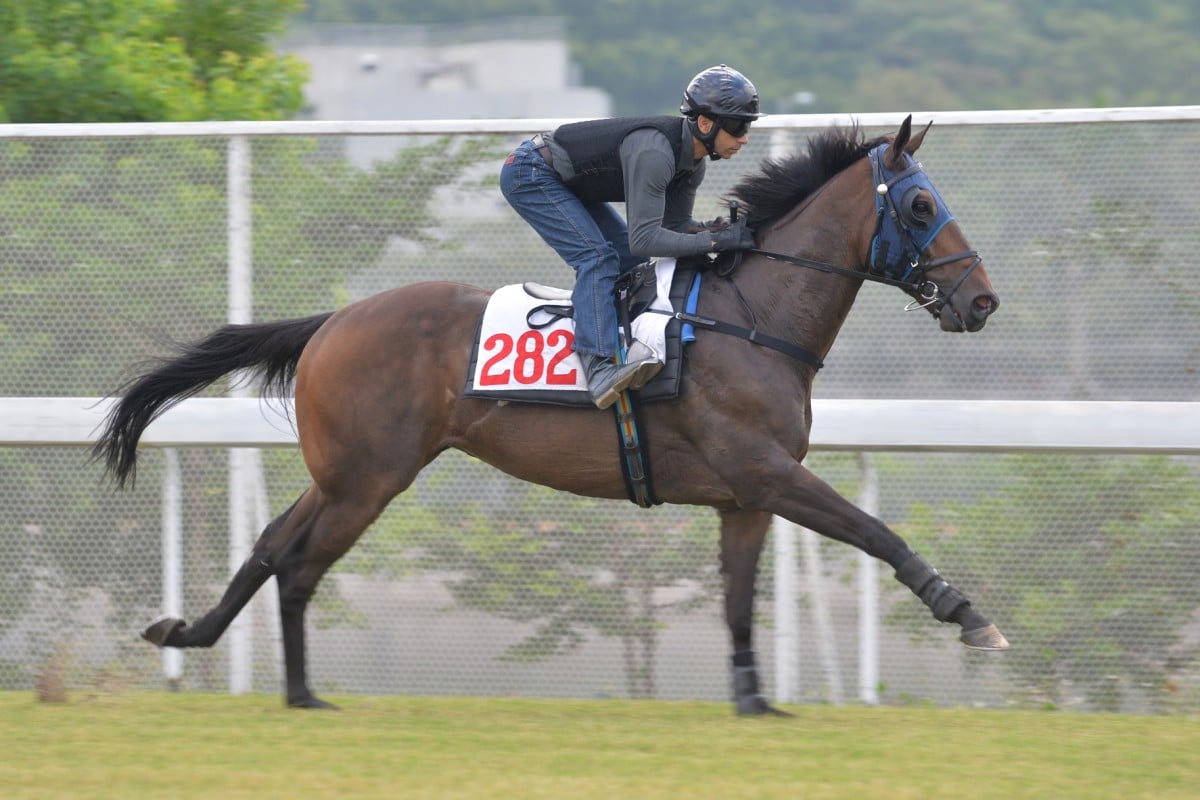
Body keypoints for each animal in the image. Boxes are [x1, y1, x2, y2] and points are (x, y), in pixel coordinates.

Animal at [98, 115, 1008, 714]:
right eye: (920, 208)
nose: (982, 301)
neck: (751, 318)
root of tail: (333, 321)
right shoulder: (768, 471)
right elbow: (876, 533)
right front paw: (969, 616)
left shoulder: (745, 495)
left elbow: (739, 598)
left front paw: (755, 703)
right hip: (370, 479)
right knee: (298, 563)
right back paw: (298, 694)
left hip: (347, 472)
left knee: (270, 544)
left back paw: (195, 638)